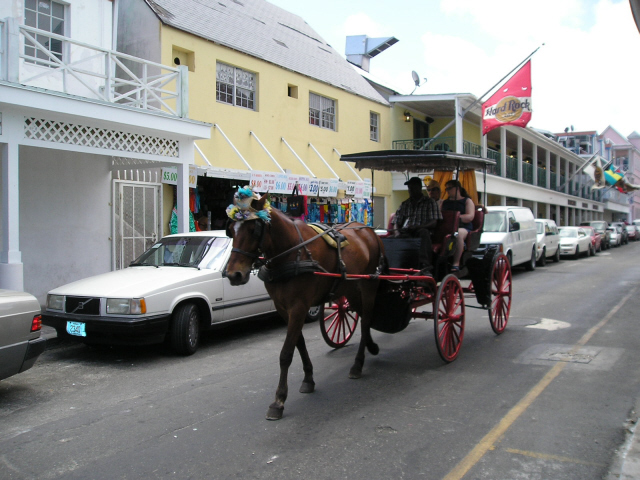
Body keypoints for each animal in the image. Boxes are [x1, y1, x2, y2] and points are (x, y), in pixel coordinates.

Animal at [225, 193, 384, 418]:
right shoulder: (284, 309)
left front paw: (279, 400)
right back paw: (371, 346)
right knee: (361, 316)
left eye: (253, 229)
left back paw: (358, 364)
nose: (233, 275)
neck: (291, 252)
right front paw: (308, 379)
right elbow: (299, 344)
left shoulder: (299, 307)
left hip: (369, 284)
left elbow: (286, 353)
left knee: (367, 318)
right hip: (350, 287)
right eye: (231, 229)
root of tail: (369, 230)